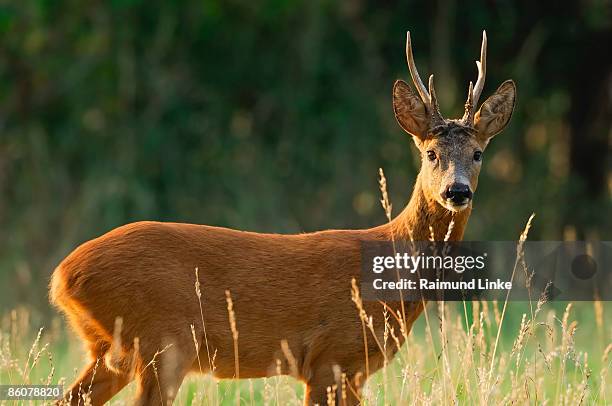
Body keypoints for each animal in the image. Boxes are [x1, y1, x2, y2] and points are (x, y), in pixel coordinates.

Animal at [50, 29, 516, 406]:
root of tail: (62, 276)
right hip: (162, 342)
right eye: (431, 153)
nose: (457, 191)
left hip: (114, 349)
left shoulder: (353, 369)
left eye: (478, 153)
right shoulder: (330, 357)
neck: (388, 271)